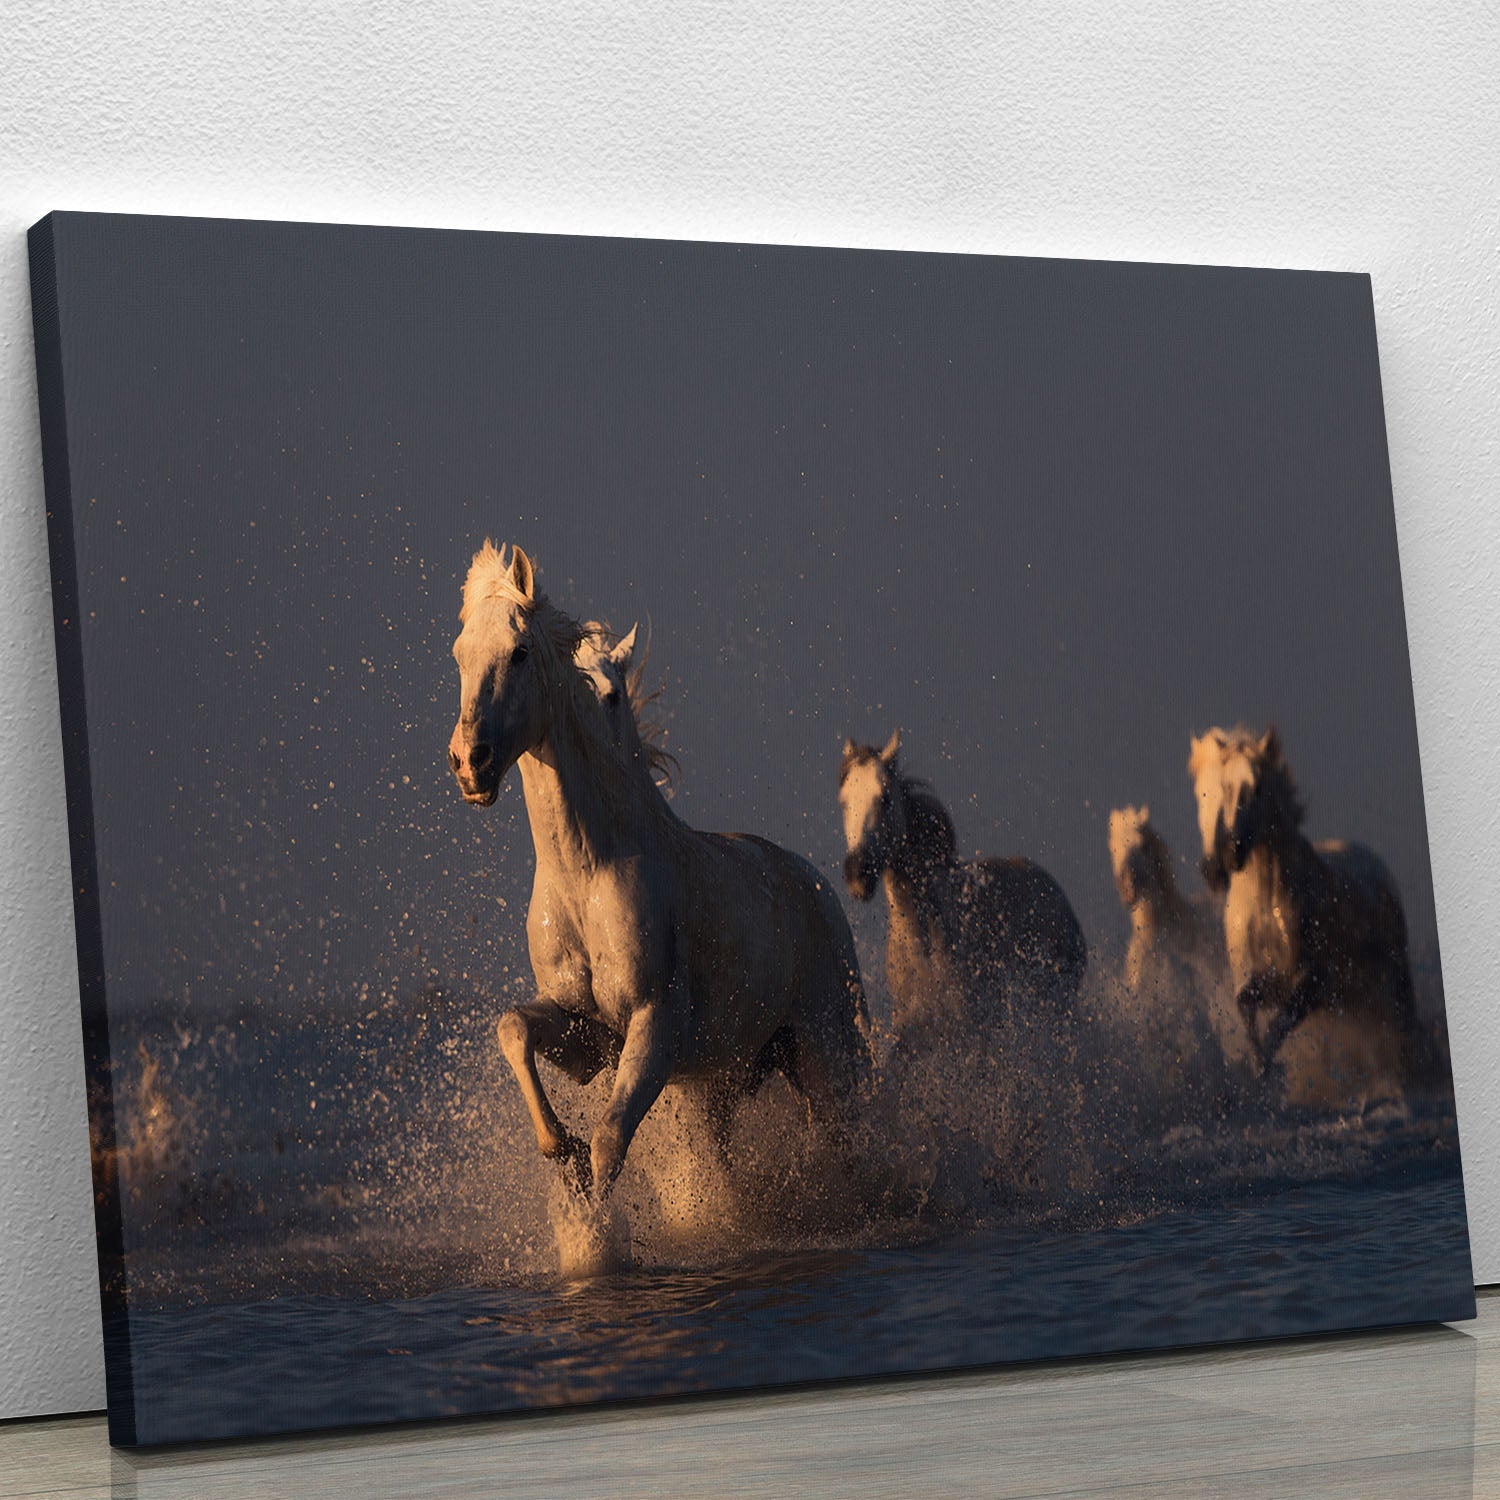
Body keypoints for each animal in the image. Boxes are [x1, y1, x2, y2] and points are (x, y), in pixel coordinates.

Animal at [448, 543, 871, 1205]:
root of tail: (817, 885)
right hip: (722, 1082)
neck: (588, 873)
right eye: (459, 653)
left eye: (518, 652)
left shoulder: (653, 1027)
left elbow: (609, 1141)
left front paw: (593, 1211)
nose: (470, 763)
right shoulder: (588, 1034)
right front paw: (560, 1150)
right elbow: (513, 1027)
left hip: (828, 1058)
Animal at [1188, 725, 1427, 1085]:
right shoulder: (1264, 980)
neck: (1265, 905)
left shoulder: (1314, 984)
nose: (1227, 857)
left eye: (1256, 788)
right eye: (1219, 789)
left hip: (1392, 983)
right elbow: (1246, 1005)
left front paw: (1266, 1069)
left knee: (1401, 1033)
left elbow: (1280, 1023)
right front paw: (1258, 1066)